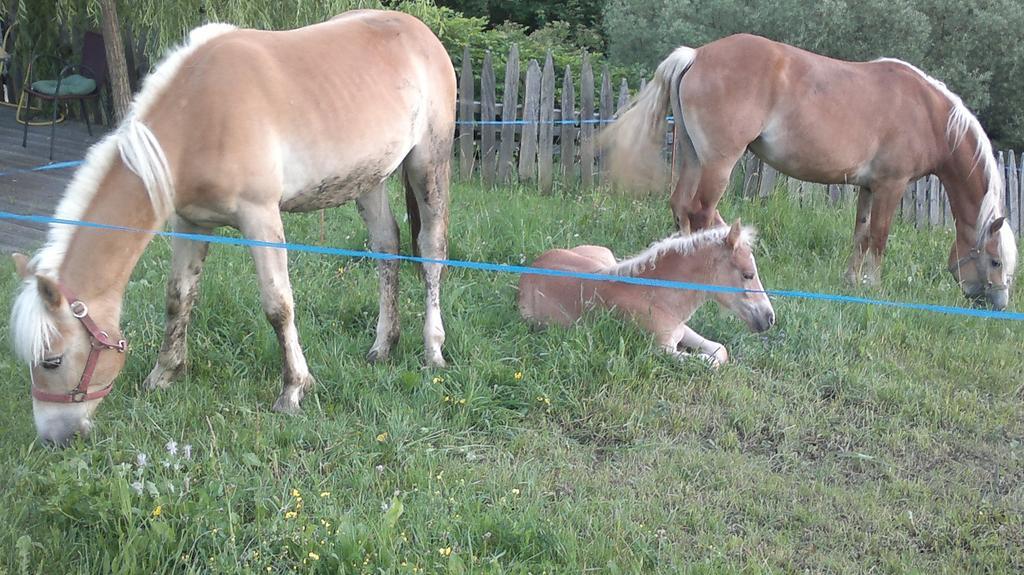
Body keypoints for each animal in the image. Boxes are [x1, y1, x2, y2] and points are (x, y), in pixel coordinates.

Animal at [9, 11, 456, 446]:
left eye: (52, 360)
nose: (53, 438)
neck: (198, 115)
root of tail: (420, 33)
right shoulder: (189, 223)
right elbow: (178, 298)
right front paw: (163, 375)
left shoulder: (260, 217)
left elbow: (278, 306)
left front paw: (293, 390)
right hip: (369, 180)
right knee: (387, 247)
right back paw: (383, 347)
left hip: (429, 165)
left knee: (430, 251)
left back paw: (433, 350)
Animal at [520, 218, 774, 366]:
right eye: (748, 274)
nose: (769, 318)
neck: (653, 295)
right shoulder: (657, 350)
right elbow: (708, 361)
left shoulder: (682, 329)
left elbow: (720, 351)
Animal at [598, 32, 1015, 308]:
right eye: (995, 261)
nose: (998, 305)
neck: (928, 112)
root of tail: (696, 55)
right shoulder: (891, 186)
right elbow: (879, 237)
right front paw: (873, 286)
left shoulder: (868, 187)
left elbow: (860, 234)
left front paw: (851, 282)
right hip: (718, 163)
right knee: (700, 211)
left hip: (692, 157)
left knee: (681, 206)